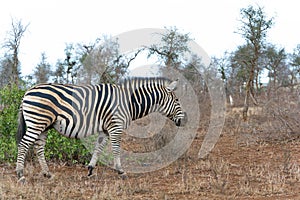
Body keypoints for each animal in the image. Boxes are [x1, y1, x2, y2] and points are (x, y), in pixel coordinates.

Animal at [15, 77, 188, 182]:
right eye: (177, 100)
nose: (185, 120)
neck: (128, 102)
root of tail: (27, 92)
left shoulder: (105, 129)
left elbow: (98, 148)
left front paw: (90, 170)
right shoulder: (116, 126)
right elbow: (116, 149)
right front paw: (121, 171)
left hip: (44, 125)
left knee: (38, 148)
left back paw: (47, 173)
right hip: (37, 122)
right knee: (23, 145)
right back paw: (20, 175)